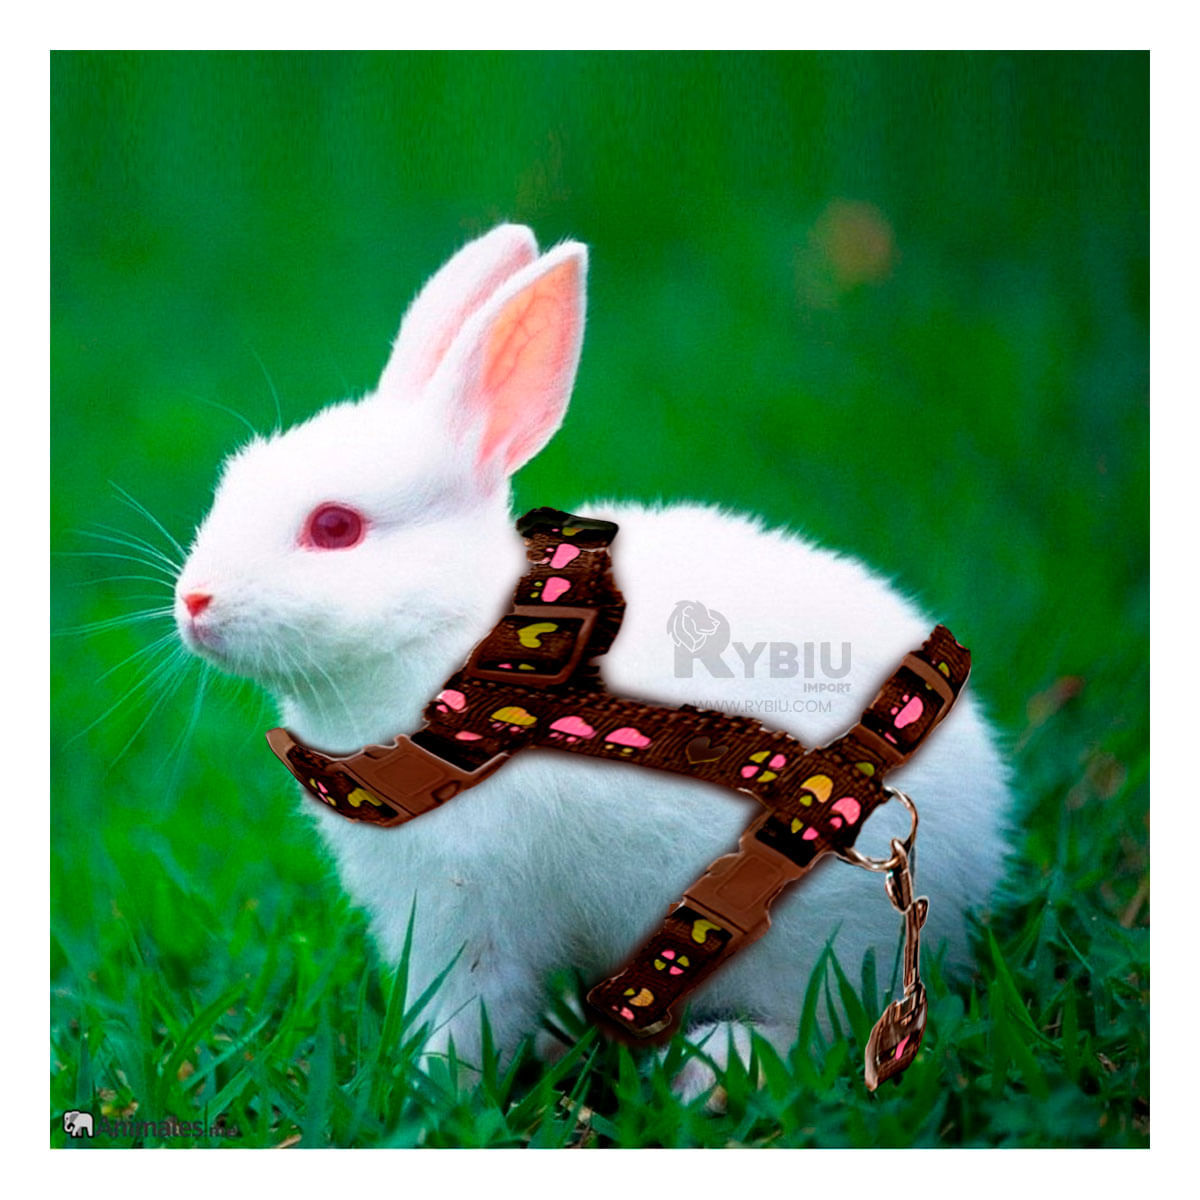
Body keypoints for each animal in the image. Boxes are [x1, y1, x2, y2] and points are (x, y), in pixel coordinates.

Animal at [174, 224, 1011, 1101]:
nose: (193, 601)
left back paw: (711, 1071)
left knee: (812, 1028)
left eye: (334, 527)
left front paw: (429, 1088)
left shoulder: (472, 911)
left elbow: (469, 1014)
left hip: (815, 943)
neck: (468, 650)